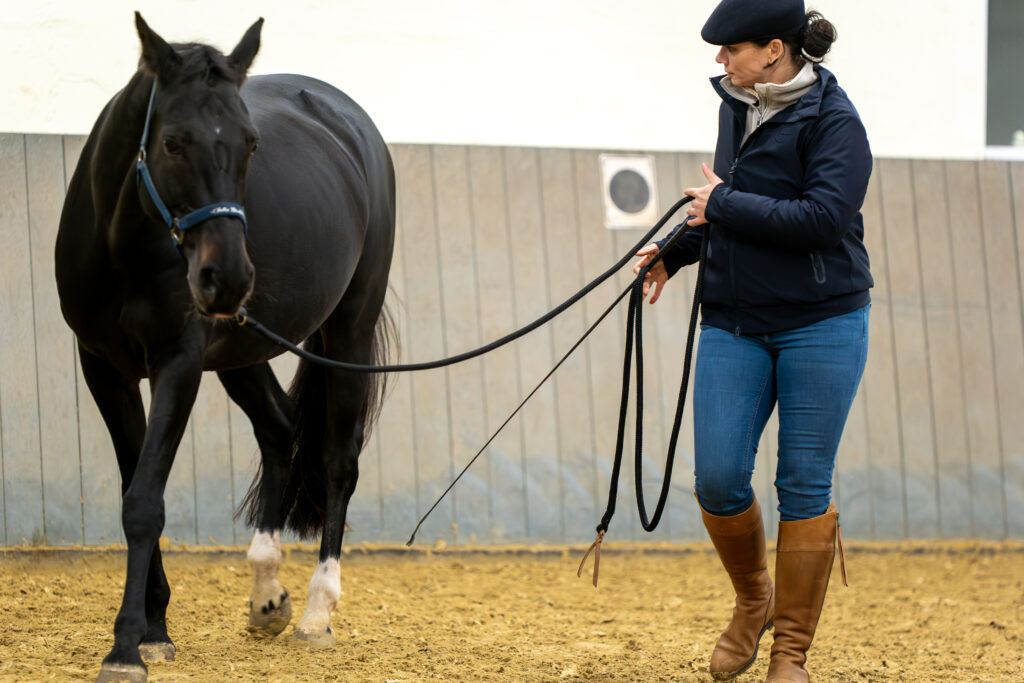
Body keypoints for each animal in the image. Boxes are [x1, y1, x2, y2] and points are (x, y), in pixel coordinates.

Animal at [55, 14, 395, 682]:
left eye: (252, 145)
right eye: (171, 142)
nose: (229, 277)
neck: (125, 247)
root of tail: (352, 124)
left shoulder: (178, 365)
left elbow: (144, 502)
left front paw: (126, 647)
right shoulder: (103, 368)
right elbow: (136, 486)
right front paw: (154, 631)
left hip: (350, 331)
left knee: (338, 461)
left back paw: (316, 614)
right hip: (243, 350)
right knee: (279, 428)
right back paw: (267, 594)